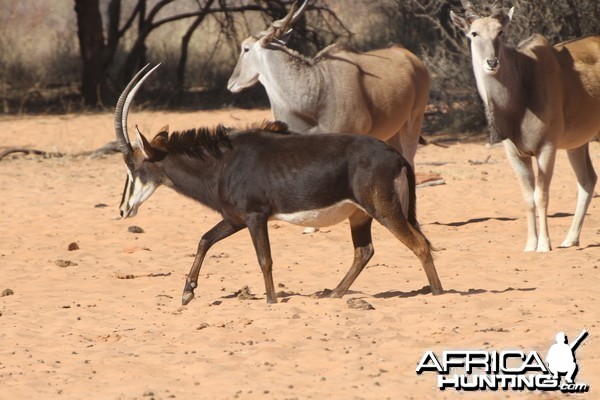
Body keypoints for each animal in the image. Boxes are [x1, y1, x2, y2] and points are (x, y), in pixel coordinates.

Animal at [116, 64, 446, 304]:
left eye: (133, 166)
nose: (122, 209)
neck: (223, 162)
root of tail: (396, 156)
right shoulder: (235, 218)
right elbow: (205, 240)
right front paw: (187, 292)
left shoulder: (254, 216)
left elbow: (265, 259)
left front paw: (271, 301)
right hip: (360, 215)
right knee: (364, 252)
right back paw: (333, 293)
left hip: (384, 209)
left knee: (418, 245)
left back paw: (438, 293)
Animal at [226, 0, 432, 166]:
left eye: (246, 48)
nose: (231, 83)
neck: (317, 88)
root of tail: (412, 58)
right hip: (392, 133)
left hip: (414, 122)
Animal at [452, 0, 596, 252]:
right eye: (473, 33)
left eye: (500, 32)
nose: (492, 62)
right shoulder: (516, 154)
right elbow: (528, 199)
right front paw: (530, 245)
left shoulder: (546, 148)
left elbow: (541, 196)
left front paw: (544, 245)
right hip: (577, 145)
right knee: (587, 181)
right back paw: (570, 239)